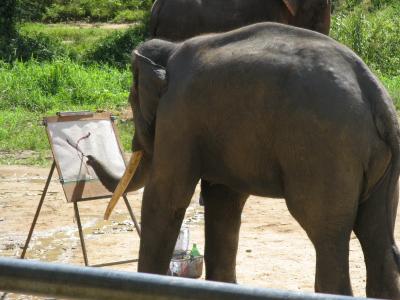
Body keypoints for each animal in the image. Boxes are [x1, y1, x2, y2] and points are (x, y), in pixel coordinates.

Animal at [87, 22, 400, 298]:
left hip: (325, 150)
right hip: (378, 162)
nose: (88, 156)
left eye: (132, 101)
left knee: (326, 233)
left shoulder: (178, 116)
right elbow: (224, 201)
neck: (170, 48)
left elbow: (167, 199)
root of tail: (375, 93)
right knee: (376, 236)